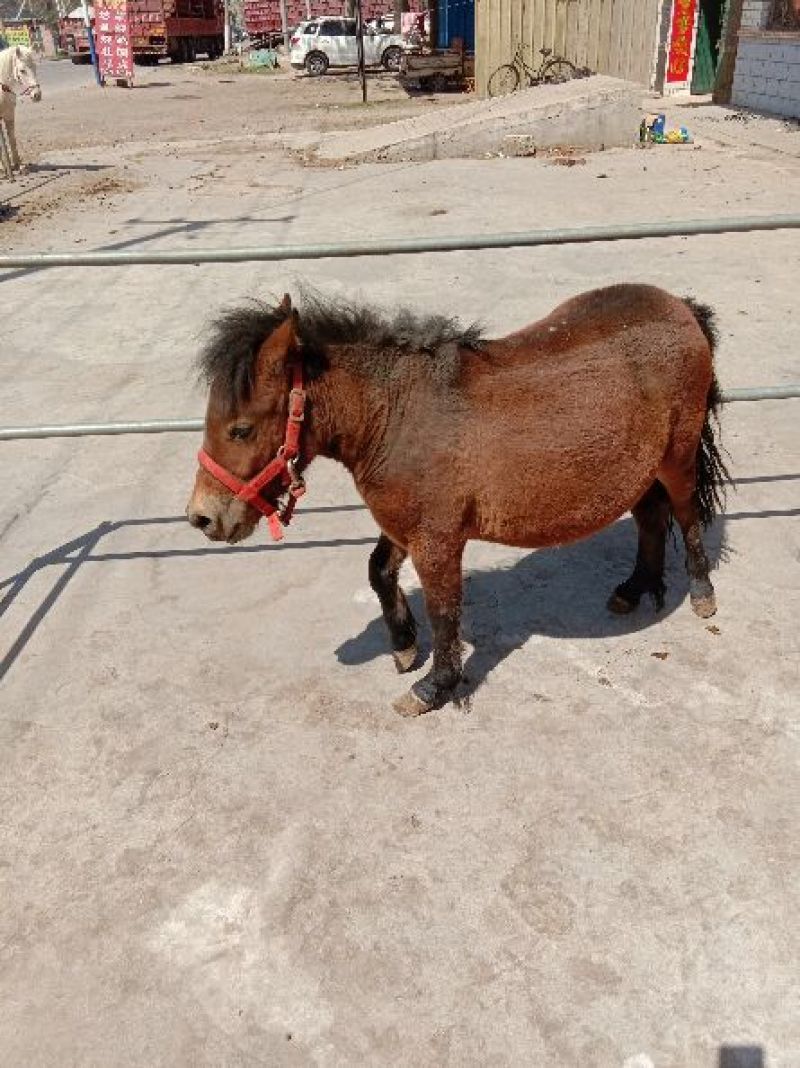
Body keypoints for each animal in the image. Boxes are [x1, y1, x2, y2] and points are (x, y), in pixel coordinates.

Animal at [186, 285, 729, 717]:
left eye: (241, 428)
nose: (202, 517)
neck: (396, 417)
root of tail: (680, 305)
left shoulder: (437, 539)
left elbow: (445, 610)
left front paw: (434, 687)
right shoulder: (404, 525)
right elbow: (378, 571)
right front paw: (405, 647)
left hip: (676, 459)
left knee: (685, 514)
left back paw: (701, 594)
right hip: (639, 470)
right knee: (651, 518)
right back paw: (636, 587)